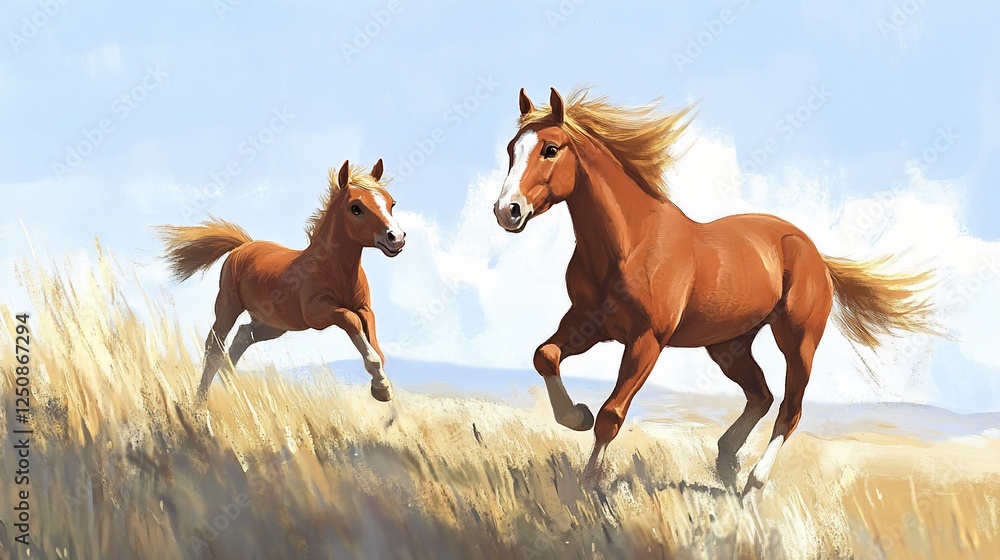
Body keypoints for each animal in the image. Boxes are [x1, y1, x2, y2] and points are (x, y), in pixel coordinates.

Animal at [158, 159, 406, 403]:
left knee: (243, 336)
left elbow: (373, 340)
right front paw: (381, 387)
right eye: (356, 208)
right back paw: (200, 402)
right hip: (228, 305)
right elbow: (351, 320)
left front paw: (381, 385)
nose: (396, 238)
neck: (334, 269)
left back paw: (235, 393)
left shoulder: (365, 308)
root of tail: (244, 245)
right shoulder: (317, 312)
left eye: (391, 203)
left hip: (273, 324)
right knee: (215, 346)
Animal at [493, 87, 936, 493]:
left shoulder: (646, 340)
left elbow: (611, 414)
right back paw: (726, 459)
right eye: (513, 149)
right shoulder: (588, 323)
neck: (631, 243)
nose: (506, 211)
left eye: (551, 149)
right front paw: (576, 416)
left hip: (798, 342)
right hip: (728, 346)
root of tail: (814, 253)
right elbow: (546, 356)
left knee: (789, 409)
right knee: (761, 395)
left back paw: (753, 483)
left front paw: (590, 482)